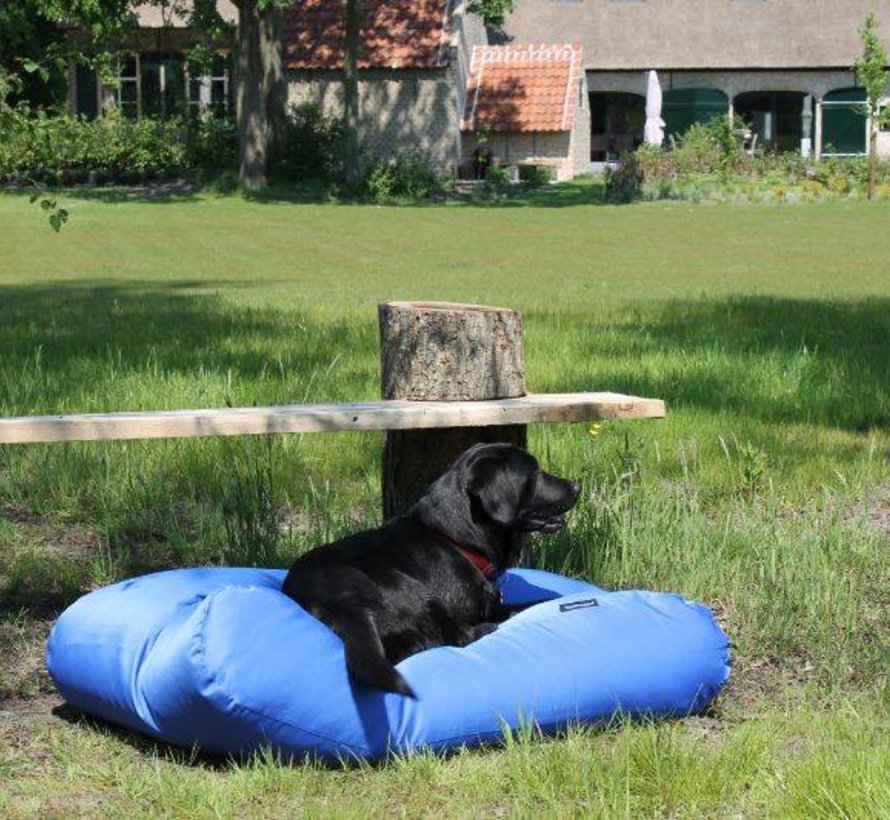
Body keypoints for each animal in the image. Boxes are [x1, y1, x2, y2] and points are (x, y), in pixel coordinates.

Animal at [280, 442, 580, 700]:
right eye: (534, 472)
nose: (577, 485)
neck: (456, 540)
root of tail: (344, 607)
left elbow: (535, 602)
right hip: (410, 589)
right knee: (456, 638)